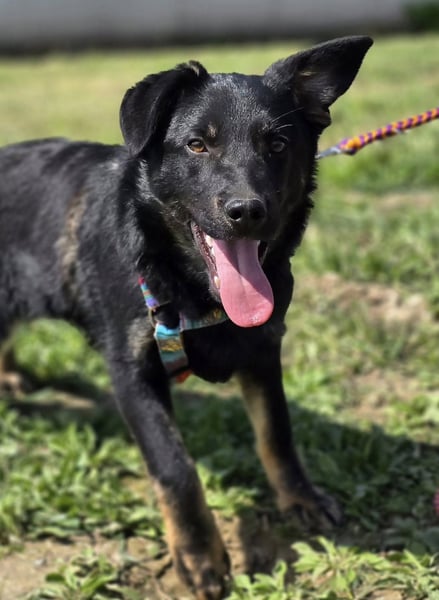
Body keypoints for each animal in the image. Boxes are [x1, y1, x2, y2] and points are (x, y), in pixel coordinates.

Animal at [0, 36, 372, 599]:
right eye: (198, 145)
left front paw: (300, 497)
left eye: (277, 146)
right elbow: (175, 466)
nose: (247, 211)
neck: (191, 287)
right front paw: (200, 554)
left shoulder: (264, 350)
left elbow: (277, 433)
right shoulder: (132, 373)